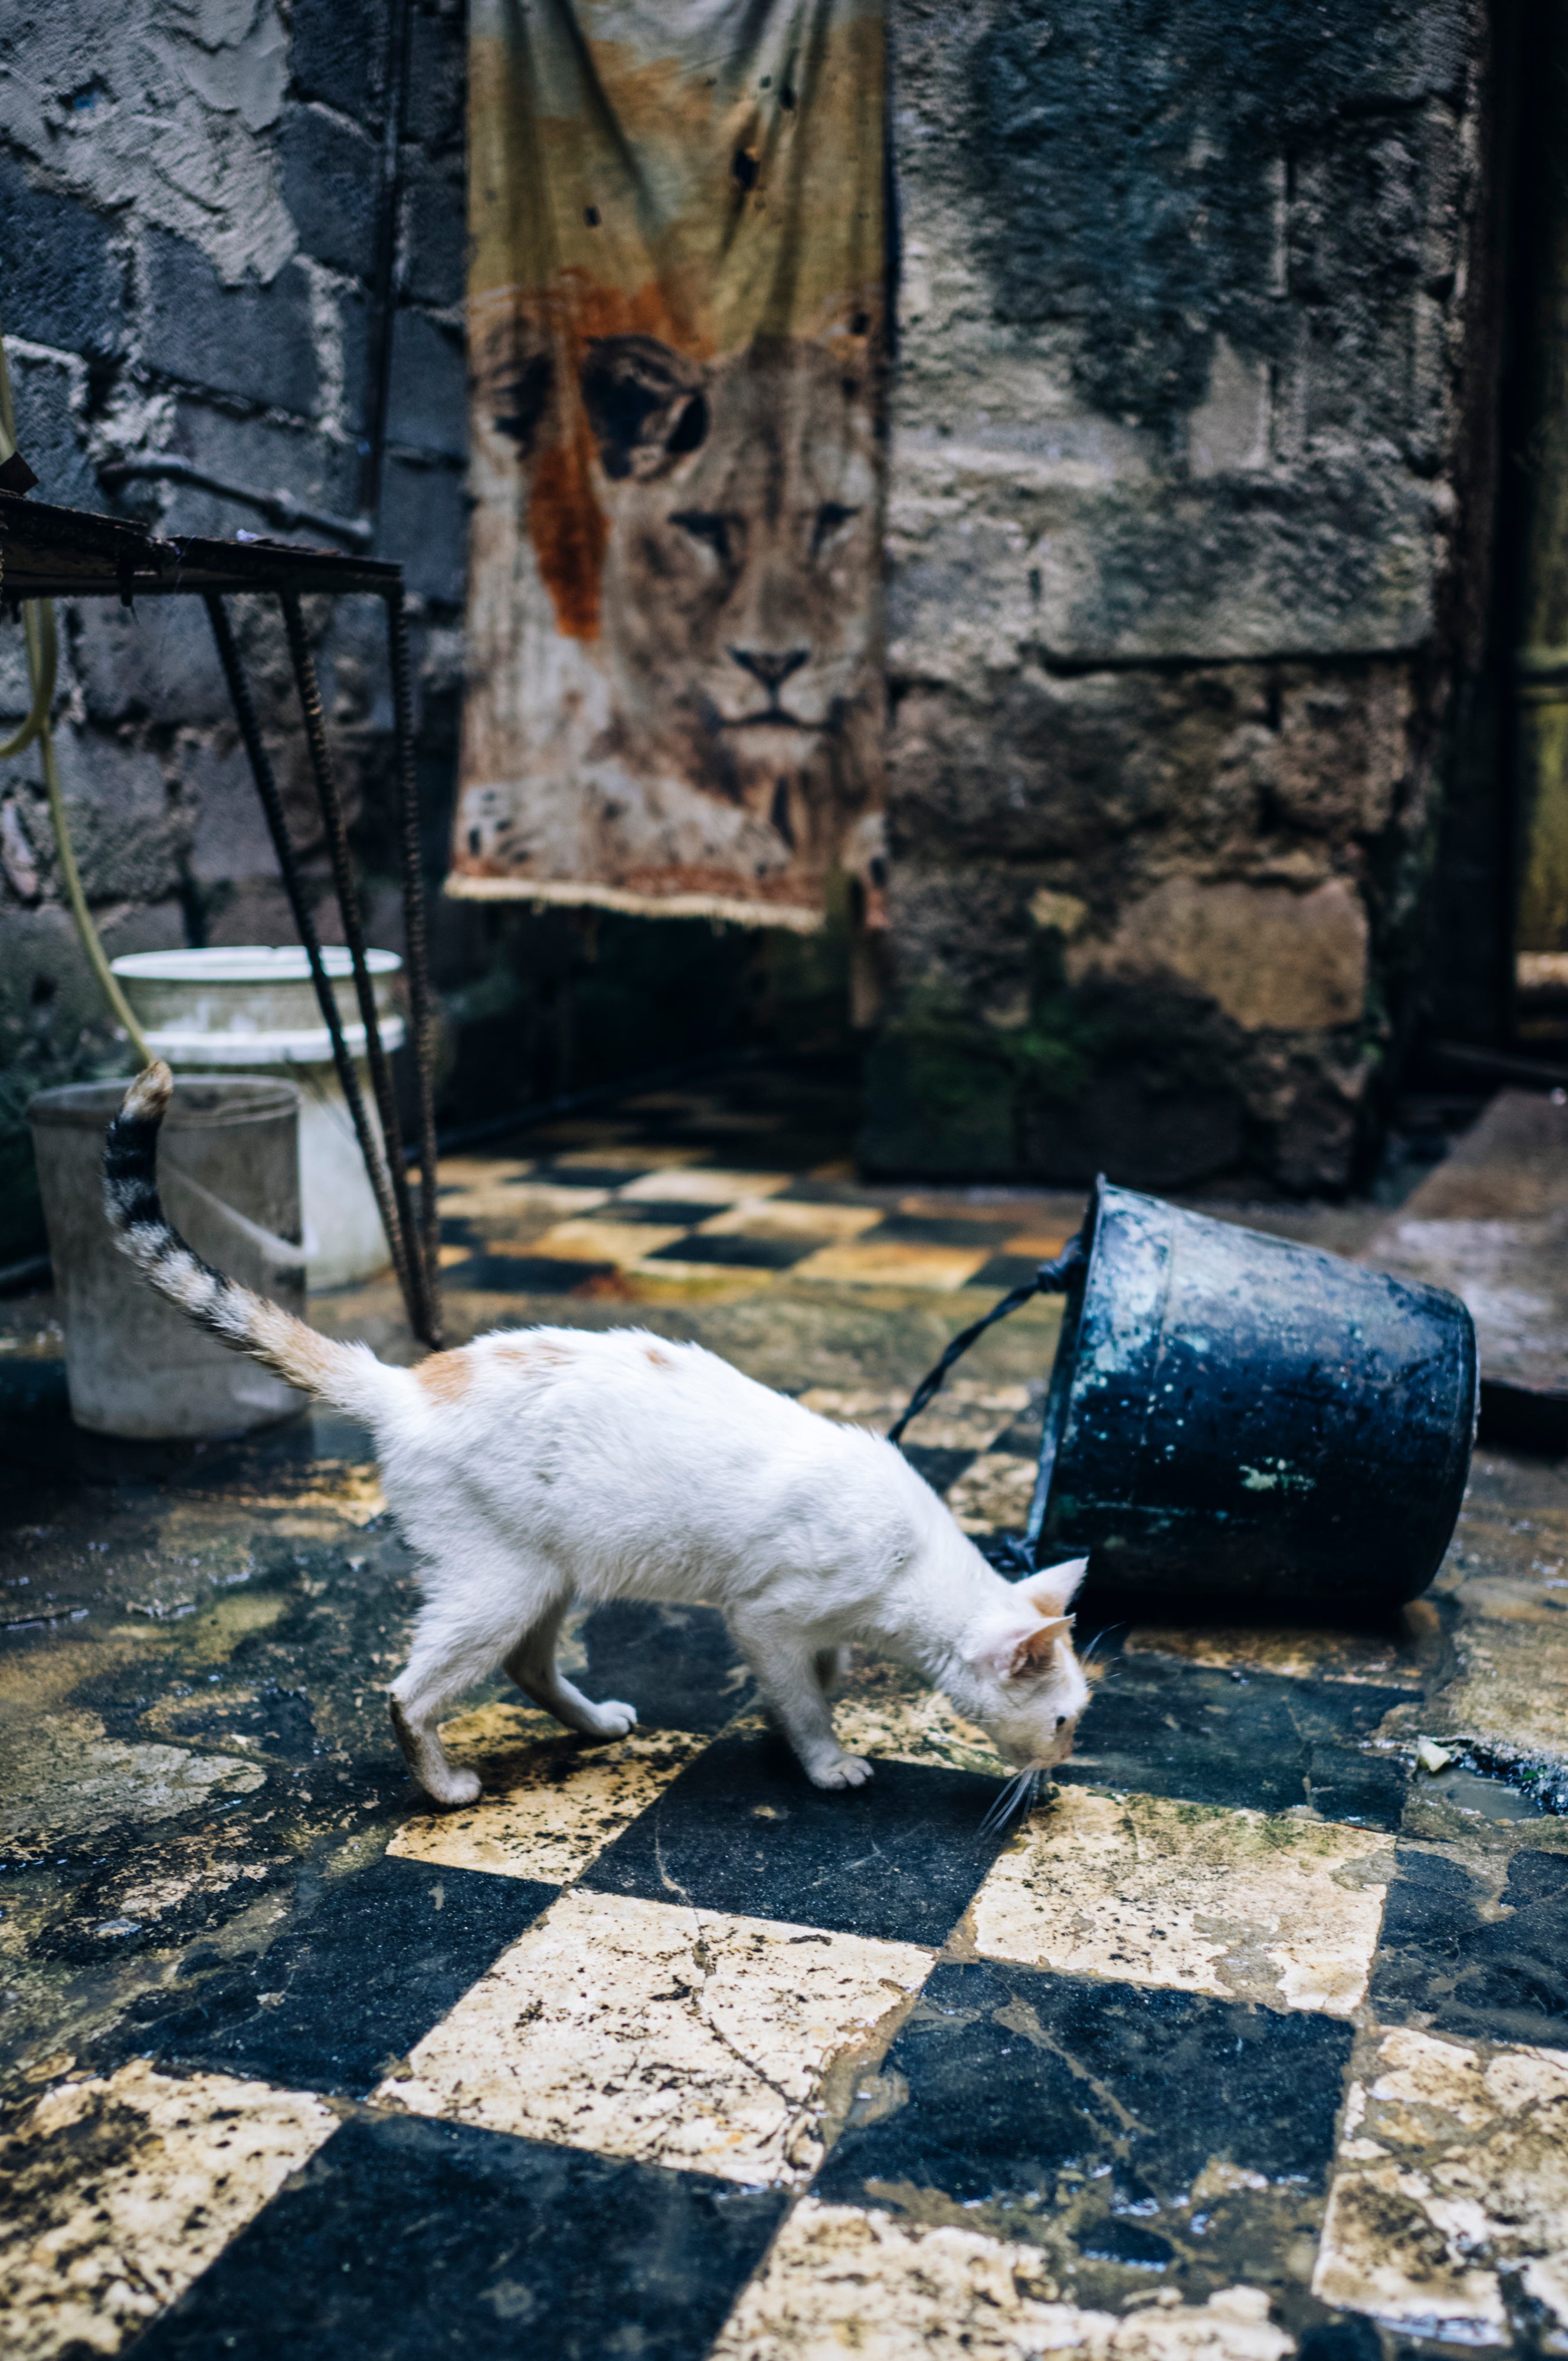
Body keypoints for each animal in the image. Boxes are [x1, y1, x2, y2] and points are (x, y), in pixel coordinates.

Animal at [104, 1067, 1091, 1804]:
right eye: (1065, 1718)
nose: (1064, 1769)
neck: (912, 1571)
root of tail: (410, 1383)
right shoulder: (763, 1615)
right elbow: (804, 1700)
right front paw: (823, 1760)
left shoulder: (806, 1620)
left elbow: (823, 1673)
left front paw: (819, 1694)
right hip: (497, 1584)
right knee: (408, 1693)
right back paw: (445, 1787)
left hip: (546, 1577)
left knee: (529, 1667)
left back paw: (596, 1725)